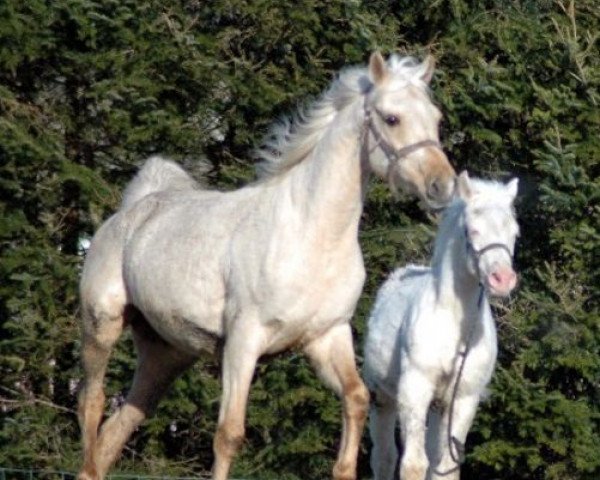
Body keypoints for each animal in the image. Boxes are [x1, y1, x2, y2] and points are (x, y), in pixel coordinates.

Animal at [78, 52, 454, 480]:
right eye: (391, 118)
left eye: (435, 117)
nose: (442, 186)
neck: (311, 235)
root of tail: (131, 212)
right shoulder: (243, 342)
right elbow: (229, 434)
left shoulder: (327, 336)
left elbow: (356, 399)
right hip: (101, 325)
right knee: (92, 404)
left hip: (166, 355)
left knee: (118, 427)